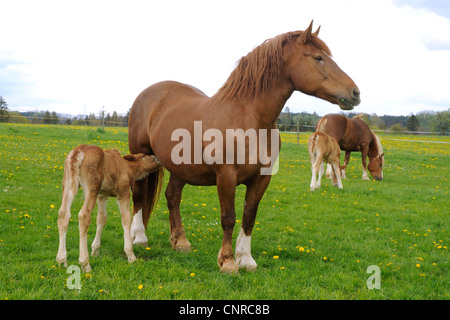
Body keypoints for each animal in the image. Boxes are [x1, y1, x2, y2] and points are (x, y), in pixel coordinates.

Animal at [128, 21, 360, 274]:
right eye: (318, 58)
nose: (355, 93)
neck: (250, 120)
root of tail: (148, 94)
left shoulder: (261, 178)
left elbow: (249, 215)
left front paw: (246, 259)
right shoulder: (226, 176)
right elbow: (229, 217)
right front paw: (228, 262)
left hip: (181, 168)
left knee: (172, 196)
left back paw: (180, 241)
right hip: (140, 155)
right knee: (139, 195)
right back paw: (139, 237)